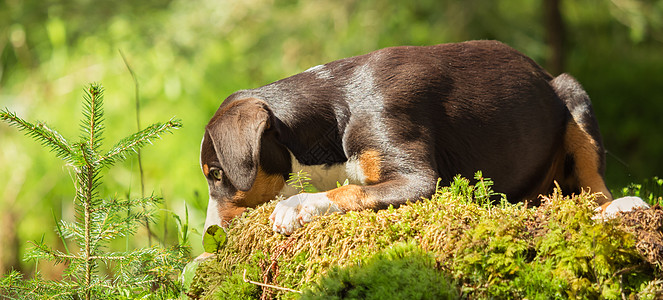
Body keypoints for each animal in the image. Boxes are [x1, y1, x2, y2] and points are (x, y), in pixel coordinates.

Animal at [201, 40, 648, 237]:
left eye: (215, 174)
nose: (209, 237)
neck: (337, 108)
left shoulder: (416, 179)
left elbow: (350, 191)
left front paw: (297, 205)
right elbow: (350, 186)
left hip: (573, 96)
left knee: (595, 187)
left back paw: (620, 205)